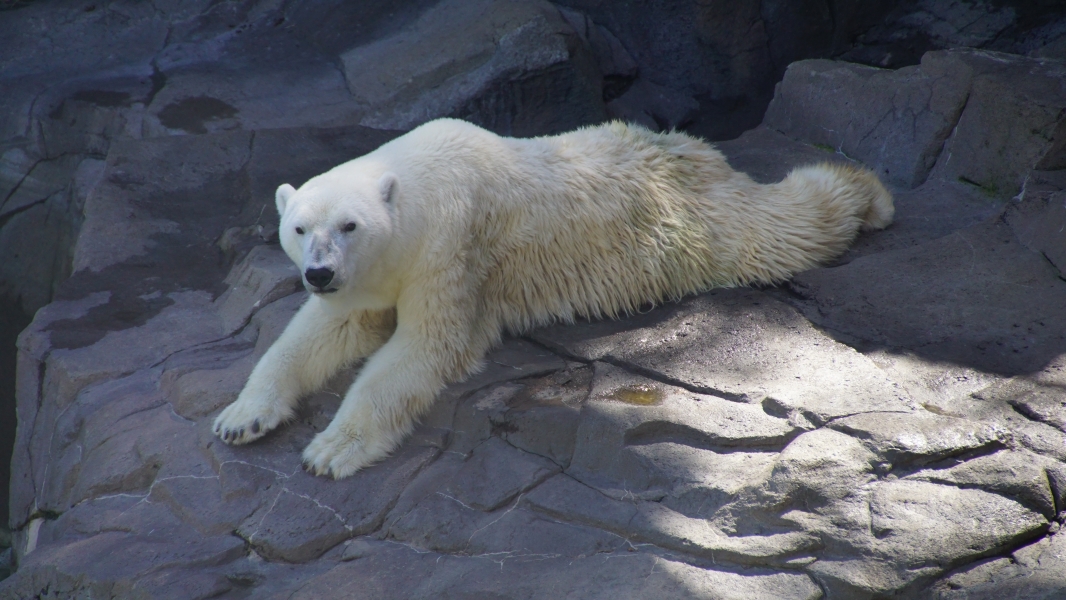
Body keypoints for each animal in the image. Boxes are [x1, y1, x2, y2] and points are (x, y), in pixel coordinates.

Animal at [213, 118, 893, 478]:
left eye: (349, 225)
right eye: (300, 227)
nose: (318, 273)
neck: (417, 178)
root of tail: (687, 146)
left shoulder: (452, 247)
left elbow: (425, 348)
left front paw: (330, 450)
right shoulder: (376, 274)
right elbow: (323, 331)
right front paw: (240, 417)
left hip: (696, 223)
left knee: (779, 227)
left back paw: (867, 195)